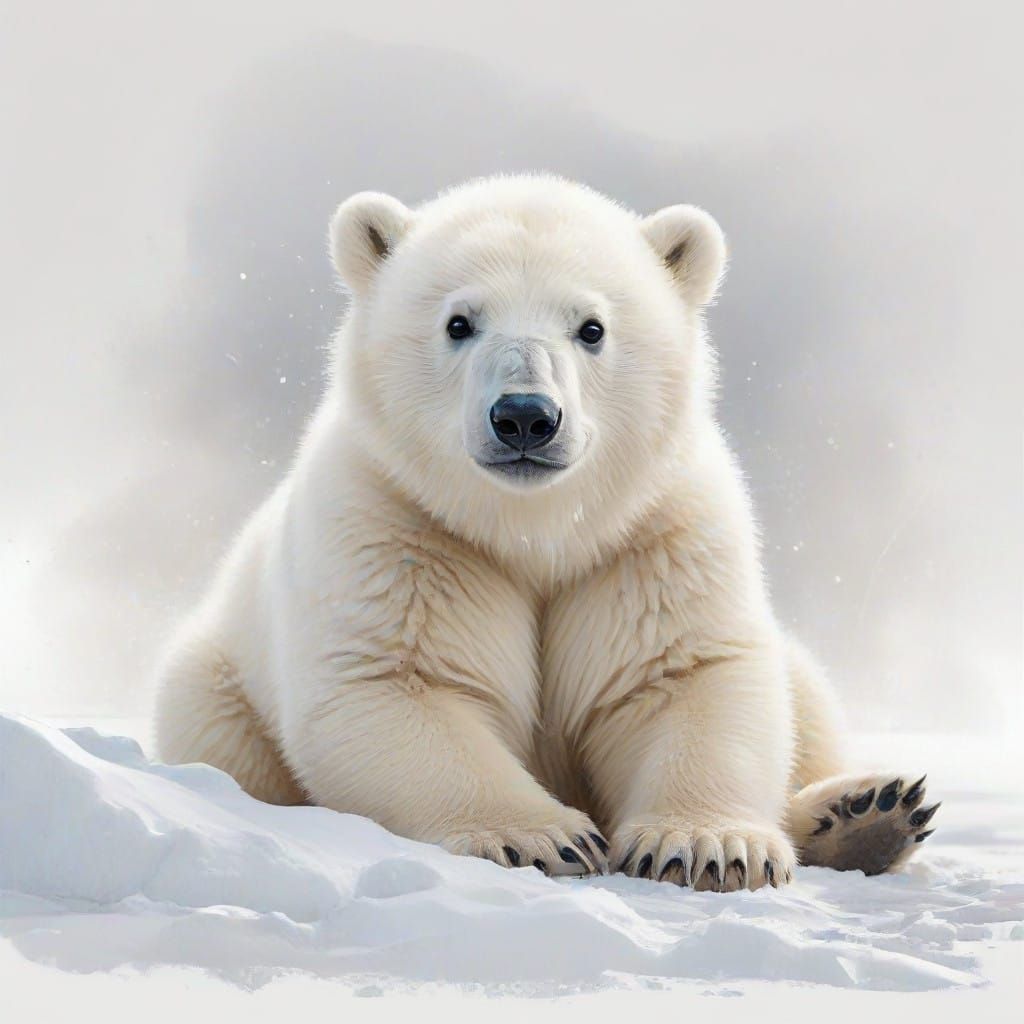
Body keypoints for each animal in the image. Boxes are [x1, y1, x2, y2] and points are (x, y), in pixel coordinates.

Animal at [153, 175, 938, 888]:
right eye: (459, 322)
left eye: (591, 327)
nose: (525, 416)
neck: (535, 532)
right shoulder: (399, 524)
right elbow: (397, 681)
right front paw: (540, 838)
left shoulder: (651, 537)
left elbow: (683, 674)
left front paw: (707, 846)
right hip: (213, 686)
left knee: (806, 697)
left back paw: (867, 812)